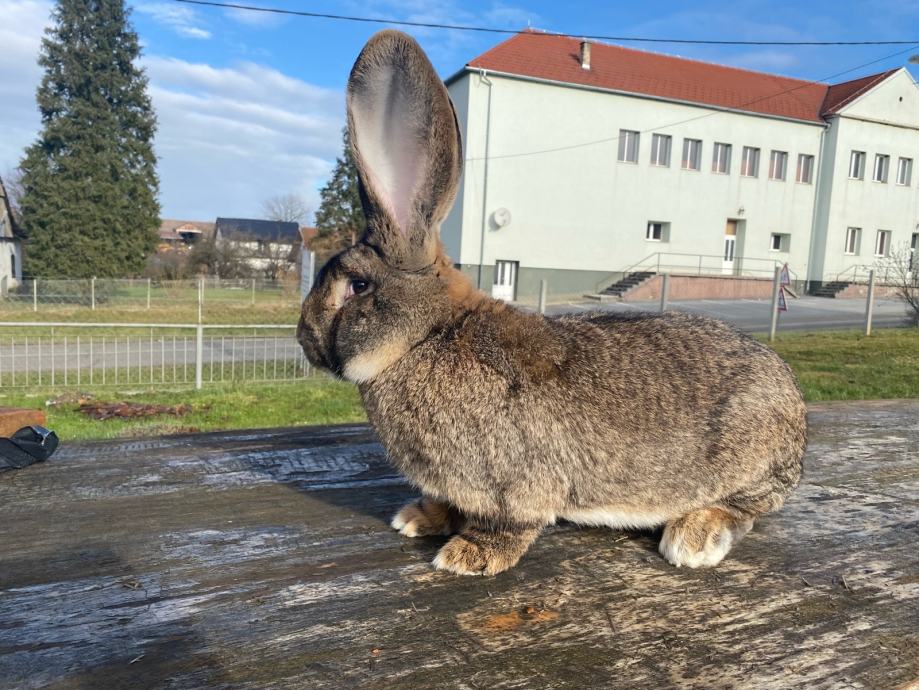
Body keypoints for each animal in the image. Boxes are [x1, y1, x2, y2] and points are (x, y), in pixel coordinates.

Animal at [300, 29, 804, 572]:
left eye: (357, 286)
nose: (304, 338)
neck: (426, 336)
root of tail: (795, 412)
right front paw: (420, 517)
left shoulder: (516, 486)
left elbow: (512, 523)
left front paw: (468, 554)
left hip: (747, 457)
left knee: (748, 505)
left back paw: (695, 536)